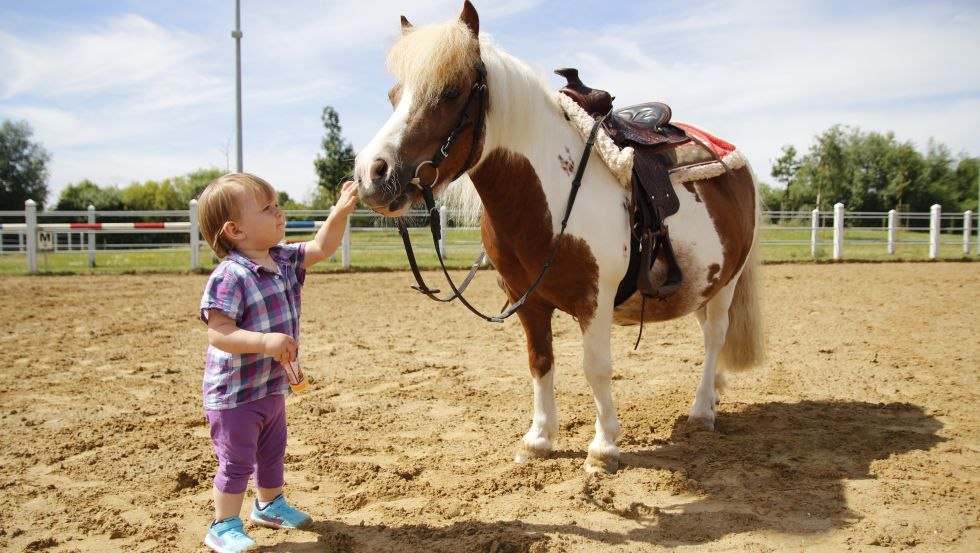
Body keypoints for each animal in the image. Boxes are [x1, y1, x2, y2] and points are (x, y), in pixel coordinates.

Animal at [352, 1, 764, 474]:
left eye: (451, 92)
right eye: (393, 95)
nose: (372, 174)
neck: (549, 194)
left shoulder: (595, 299)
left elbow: (596, 367)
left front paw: (603, 447)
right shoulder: (525, 300)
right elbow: (540, 361)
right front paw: (539, 438)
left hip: (728, 280)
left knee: (715, 335)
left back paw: (701, 411)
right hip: (701, 282)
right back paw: (713, 394)